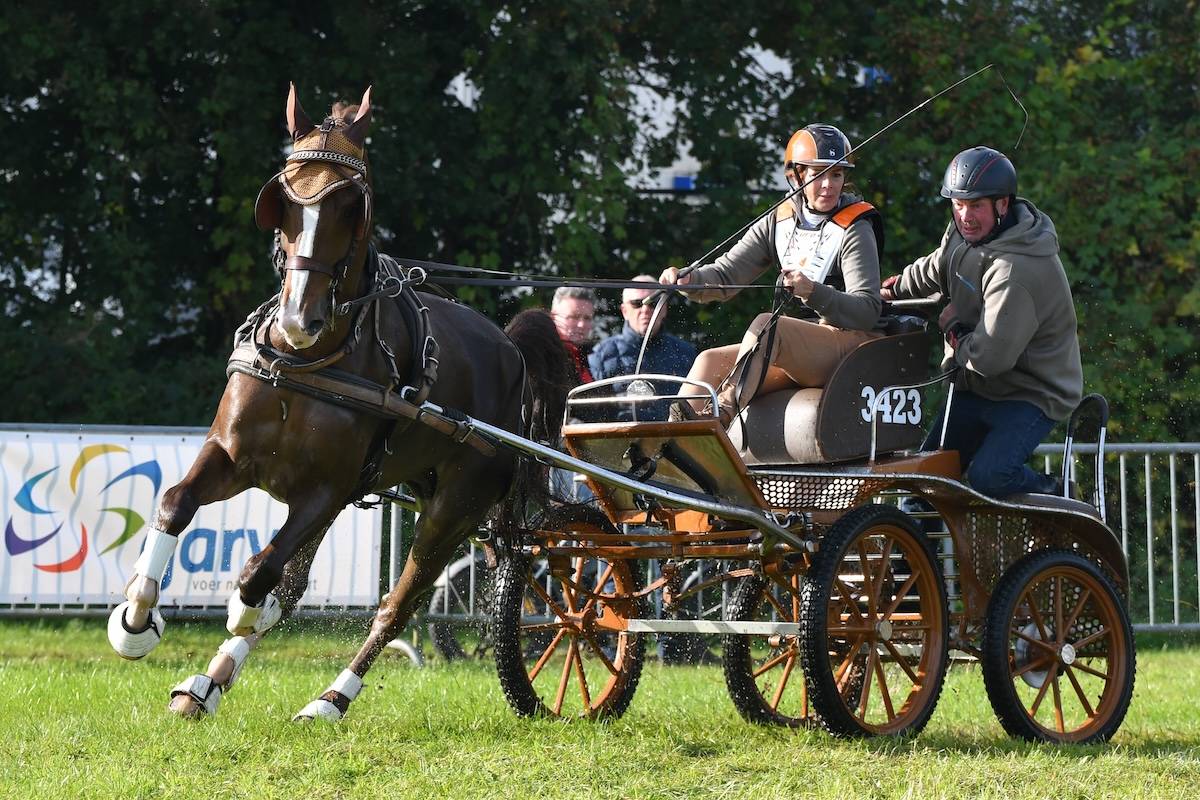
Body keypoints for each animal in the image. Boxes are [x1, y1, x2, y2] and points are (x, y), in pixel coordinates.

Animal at [106, 84, 564, 720]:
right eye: (285, 199)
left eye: (352, 206)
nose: (301, 319)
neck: (309, 363)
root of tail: (511, 350)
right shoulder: (232, 455)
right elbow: (177, 503)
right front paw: (136, 618)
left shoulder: (327, 489)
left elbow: (260, 571)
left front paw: (244, 610)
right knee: (303, 586)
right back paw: (206, 684)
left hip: (453, 508)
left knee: (398, 604)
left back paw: (330, 699)